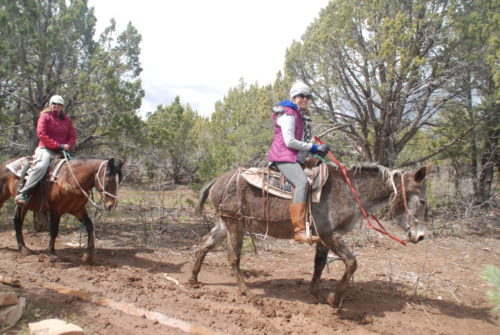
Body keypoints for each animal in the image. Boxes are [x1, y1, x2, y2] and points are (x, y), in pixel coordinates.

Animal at [191, 164, 430, 308]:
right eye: (423, 201)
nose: (420, 236)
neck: (348, 191)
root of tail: (217, 180)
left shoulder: (322, 239)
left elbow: (319, 264)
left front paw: (315, 294)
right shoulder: (330, 235)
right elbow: (351, 263)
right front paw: (334, 299)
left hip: (225, 223)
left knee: (204, 244)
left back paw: (193, 280)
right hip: (235, 225)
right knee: (233, 257)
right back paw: (246, 291)